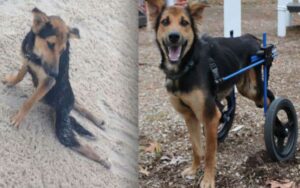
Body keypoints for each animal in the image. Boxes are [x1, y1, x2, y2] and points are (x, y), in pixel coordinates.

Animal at [2, 7, 110, 169]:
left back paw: (103, 159)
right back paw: (98, 121)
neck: (35, 55)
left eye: (62, 50)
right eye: (50, 44)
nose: (56, 73)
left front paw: (18, 118)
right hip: (64, 100)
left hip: (62, 128)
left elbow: (29, 102)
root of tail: (67, 108)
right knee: (78, 104)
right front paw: (11, 81)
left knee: (81, 145)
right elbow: (20, 75)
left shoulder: (48, 82)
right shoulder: (27, 60)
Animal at [146, 0, 276, 187]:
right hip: (242, 88)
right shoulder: (190, 116)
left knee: (270, 99)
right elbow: (196, 148)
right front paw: (193, 170)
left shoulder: (210, 116)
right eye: (165, 22)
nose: (174, 37)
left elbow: (209, 154)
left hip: (253, 89)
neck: (186, 67)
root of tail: (251, 38)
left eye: (185, 23)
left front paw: (208, 179)